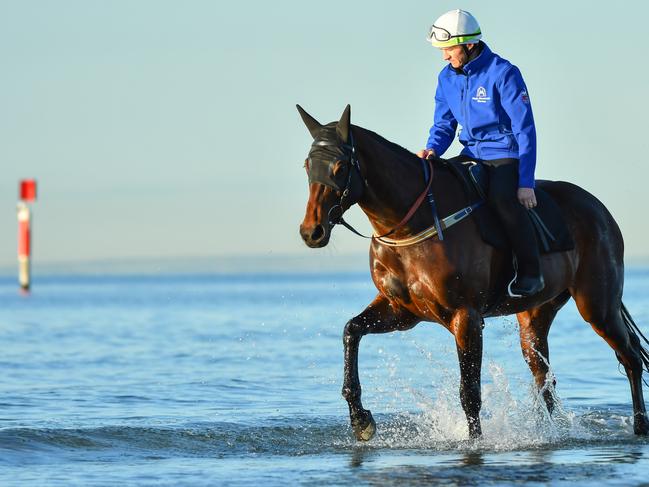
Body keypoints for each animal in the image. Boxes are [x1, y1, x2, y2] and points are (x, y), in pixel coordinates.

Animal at [298, 104, 648, 442]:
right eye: (306, 166)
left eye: (339, 167)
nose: (311, 232)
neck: (413, 222)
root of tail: (599, 209)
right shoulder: (401, 311)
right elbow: (351, 331)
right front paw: (361, 420)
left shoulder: (465, 317)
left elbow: (469, 392)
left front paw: (474, 441)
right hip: (535, 317)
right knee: (544, 377)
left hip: (597, 306)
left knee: (630, 358)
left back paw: (640, 426)